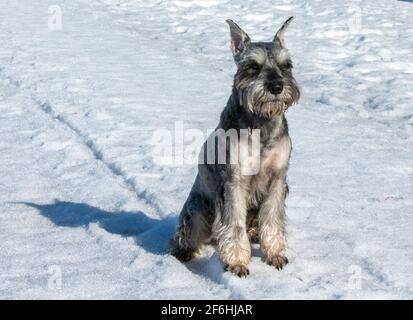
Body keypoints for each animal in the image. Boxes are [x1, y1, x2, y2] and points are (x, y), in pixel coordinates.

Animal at [168, 18, 300, 278]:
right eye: (253, 66)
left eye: (286, 65)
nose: (277, 86)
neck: (261, 124)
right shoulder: (234, 182)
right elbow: (234, 225)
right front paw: (237, 262)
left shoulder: (278, 179)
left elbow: (273, 219)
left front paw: (275, 254)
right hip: (197, 210)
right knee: (189, 234)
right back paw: (182, 252)